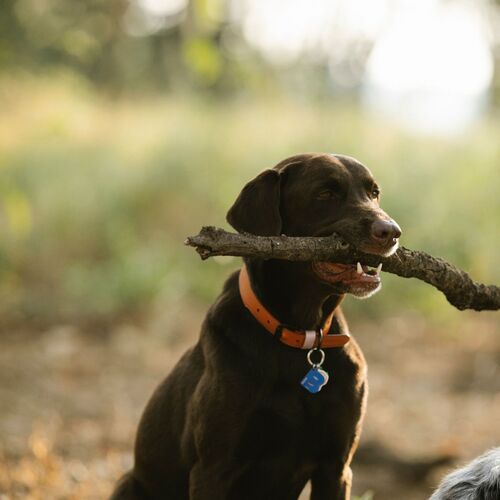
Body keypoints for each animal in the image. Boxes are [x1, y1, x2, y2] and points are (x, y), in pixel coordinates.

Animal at [110, 153, 402, 500]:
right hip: (129, 484)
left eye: (374, 192)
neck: (300, 335)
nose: (392, 231)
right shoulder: (212, 469)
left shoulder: (336, 468)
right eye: (325, 193)